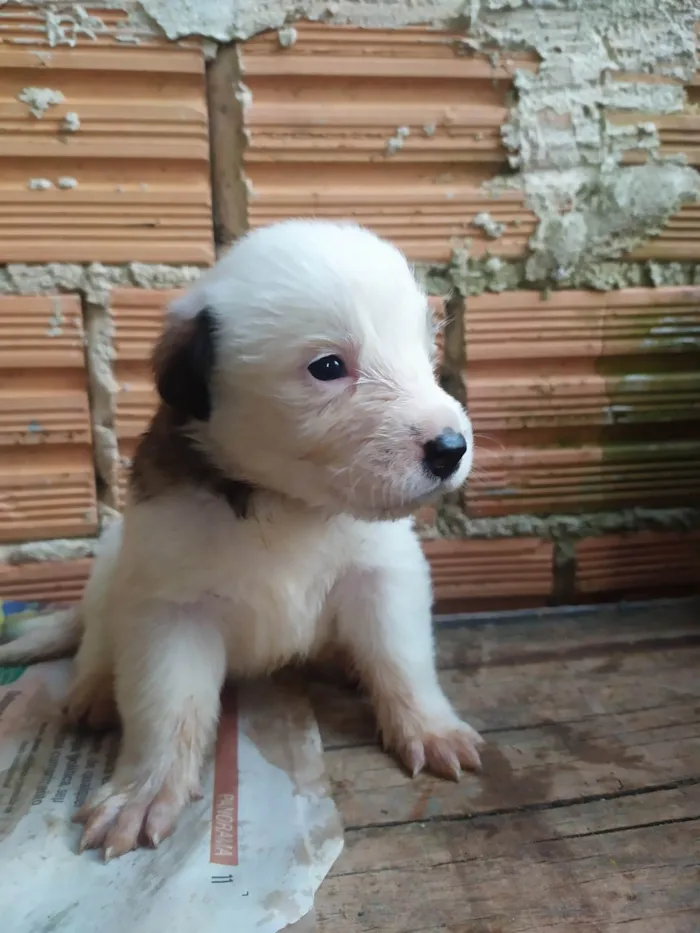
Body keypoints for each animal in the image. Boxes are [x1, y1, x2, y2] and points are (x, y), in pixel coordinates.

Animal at [0, 220, 482, 860]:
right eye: (328, 366)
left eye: (425, 356)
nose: (451, 448)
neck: (286, 505)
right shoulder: (170, 610)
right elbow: (167, 706)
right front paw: (145, 789)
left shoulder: (382, 576)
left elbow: (403, 660)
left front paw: (428, 727)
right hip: (109, 569)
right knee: (98, 639)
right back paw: (96, 688)